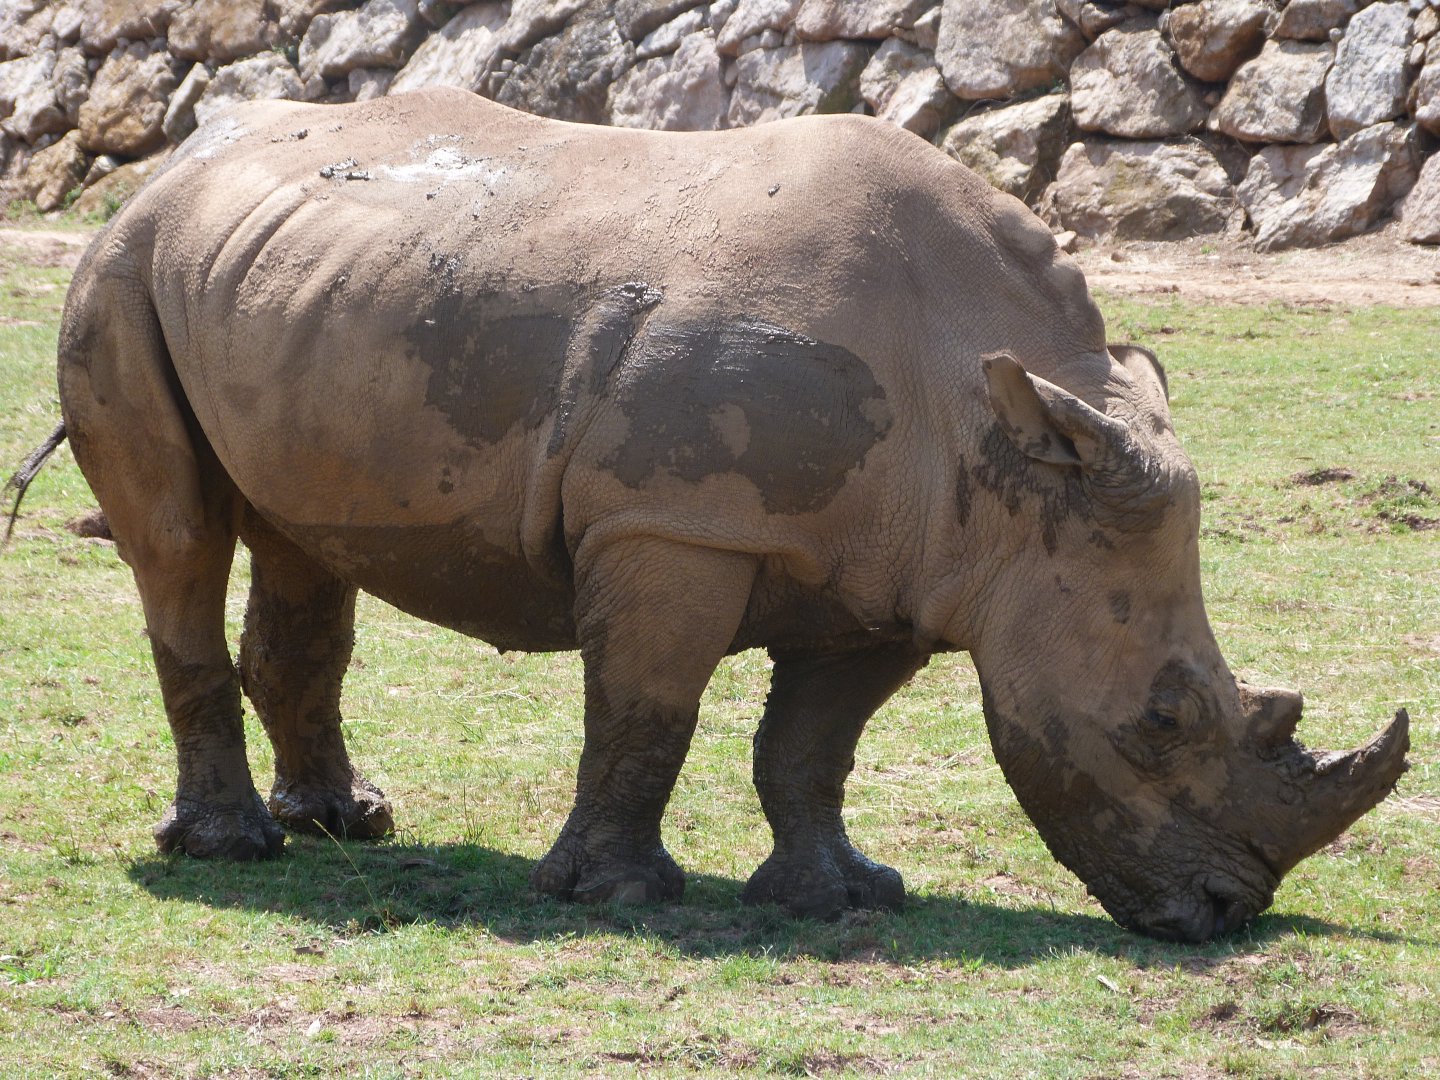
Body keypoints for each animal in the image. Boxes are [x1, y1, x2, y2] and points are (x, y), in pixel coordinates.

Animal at [10, 88, 1409, 942]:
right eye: (1162, 721)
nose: (1227, 913)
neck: (991, 423)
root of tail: (179, 163)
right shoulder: (674, 525)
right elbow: (650, 709)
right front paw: (620, 898)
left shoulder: (907, 571)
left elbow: (813, 742)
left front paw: (846, 899)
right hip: (120, 271)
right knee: (180, 542)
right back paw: (235, 852)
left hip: (287, 286)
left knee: (305, 544)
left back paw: (348, 824)